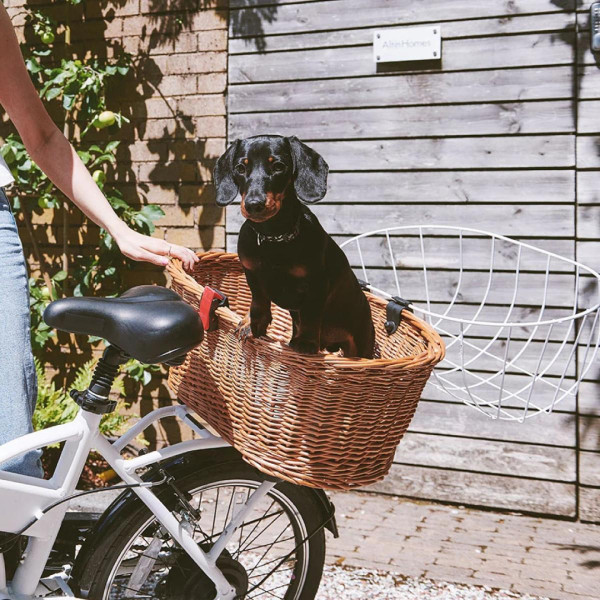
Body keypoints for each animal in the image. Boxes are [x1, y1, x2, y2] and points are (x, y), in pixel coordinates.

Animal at [214, 134, 376, 358]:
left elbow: (310, 314)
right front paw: (252, 323)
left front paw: (306, 342)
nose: (254, 205)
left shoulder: (317, 284)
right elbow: (258, 300)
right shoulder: (251, 271)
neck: (273, 237)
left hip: (360, 344)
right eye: (240, 168)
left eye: (278, 166)